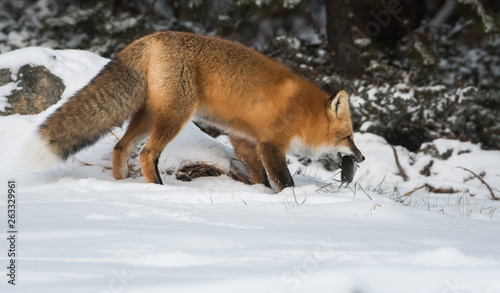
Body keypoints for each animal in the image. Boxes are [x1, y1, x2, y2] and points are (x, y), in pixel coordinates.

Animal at [27, 30, 364, 190]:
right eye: (348, 136)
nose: (360, 157)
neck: (302, 112)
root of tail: (150, 38)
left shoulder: (243, 139)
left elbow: (259, 177)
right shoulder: (270, 144)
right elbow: (283, 180)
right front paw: (290, 198)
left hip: (148, 115)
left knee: (121, 148)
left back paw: (122, 185)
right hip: (175, 116)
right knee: (148, 153)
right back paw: (159, 189)